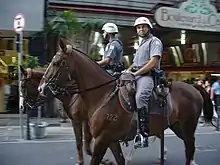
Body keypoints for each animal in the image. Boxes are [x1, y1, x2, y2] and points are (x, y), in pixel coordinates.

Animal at [38, 39, 213, 165]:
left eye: (56, 63)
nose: (41, 87)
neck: (102, 95)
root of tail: (193, 87)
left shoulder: (101, 139)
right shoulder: (110, 139)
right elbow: (115, 158)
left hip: (187, 127)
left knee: (190, 148)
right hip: (177, 126)